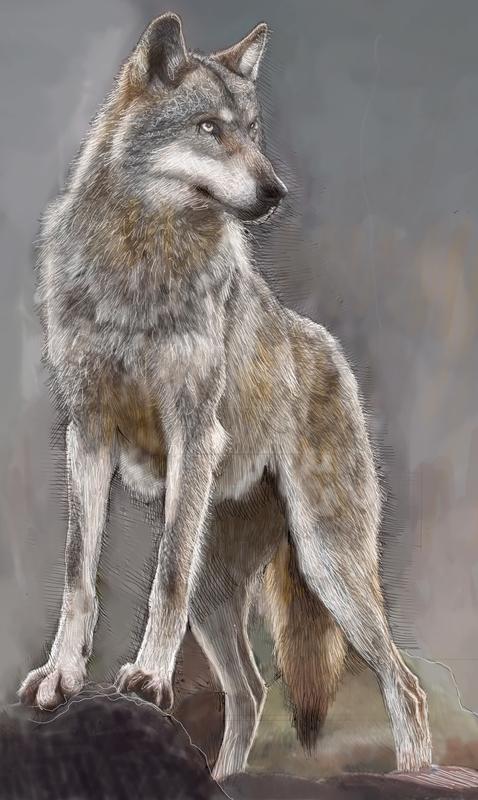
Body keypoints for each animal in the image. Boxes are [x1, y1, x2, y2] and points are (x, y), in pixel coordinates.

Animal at [19, 13, 432, 781]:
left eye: (253, 131)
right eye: (210, 128)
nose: (276, 191)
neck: (140, 263)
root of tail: (331, 350)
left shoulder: (192, 433)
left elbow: (164, 577)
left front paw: (147, 679)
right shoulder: (86, 434)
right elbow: (78, 575)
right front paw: (61, 678)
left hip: (330, 566)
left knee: (404, 684)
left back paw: (414, 773)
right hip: (228, 597)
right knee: (253, 691)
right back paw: (222, 779)